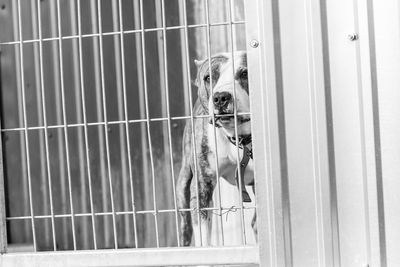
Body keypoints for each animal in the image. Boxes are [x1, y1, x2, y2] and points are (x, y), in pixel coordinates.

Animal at [176, 50, 256, 247]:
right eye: (208, 78)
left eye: (245, 73)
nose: (221, 97)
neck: (237, 136)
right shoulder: (202, 184)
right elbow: (202, 229)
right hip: (183, 184)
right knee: (185, 227)